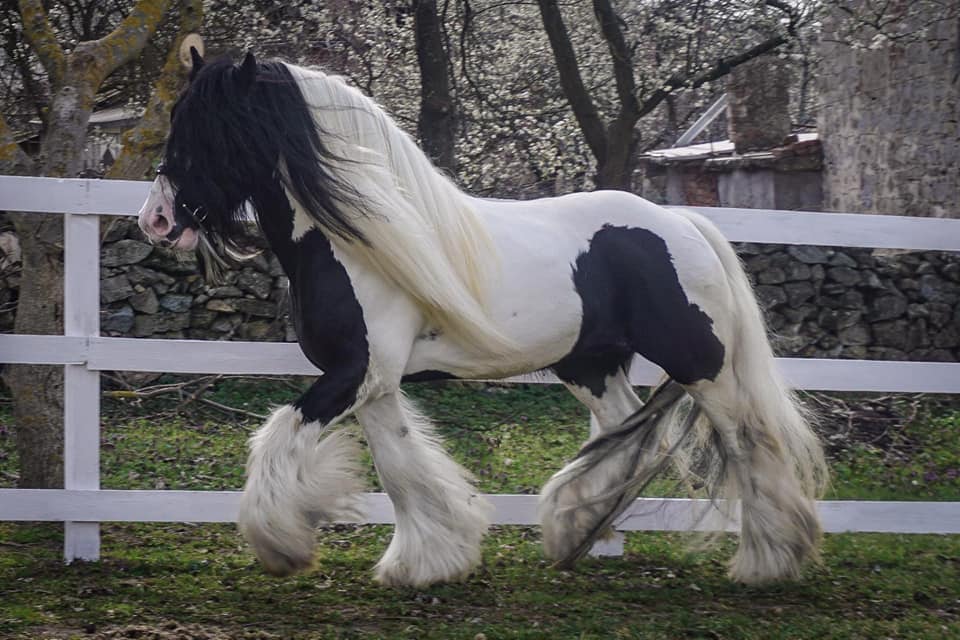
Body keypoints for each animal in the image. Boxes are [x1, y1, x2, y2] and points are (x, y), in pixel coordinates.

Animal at [137, 50, 828, 588]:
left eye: (209, 128)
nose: (157, 220)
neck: (357, 241)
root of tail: (682, 223)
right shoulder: (375, 383)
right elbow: (401, 466)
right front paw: (426, 561)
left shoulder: (355, 374)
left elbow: (283, 436)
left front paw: (279, 544)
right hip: (591, 364)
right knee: (629, 434)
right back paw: (576, 532)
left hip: (701, 366)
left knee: (749, 442)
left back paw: (770, 561)